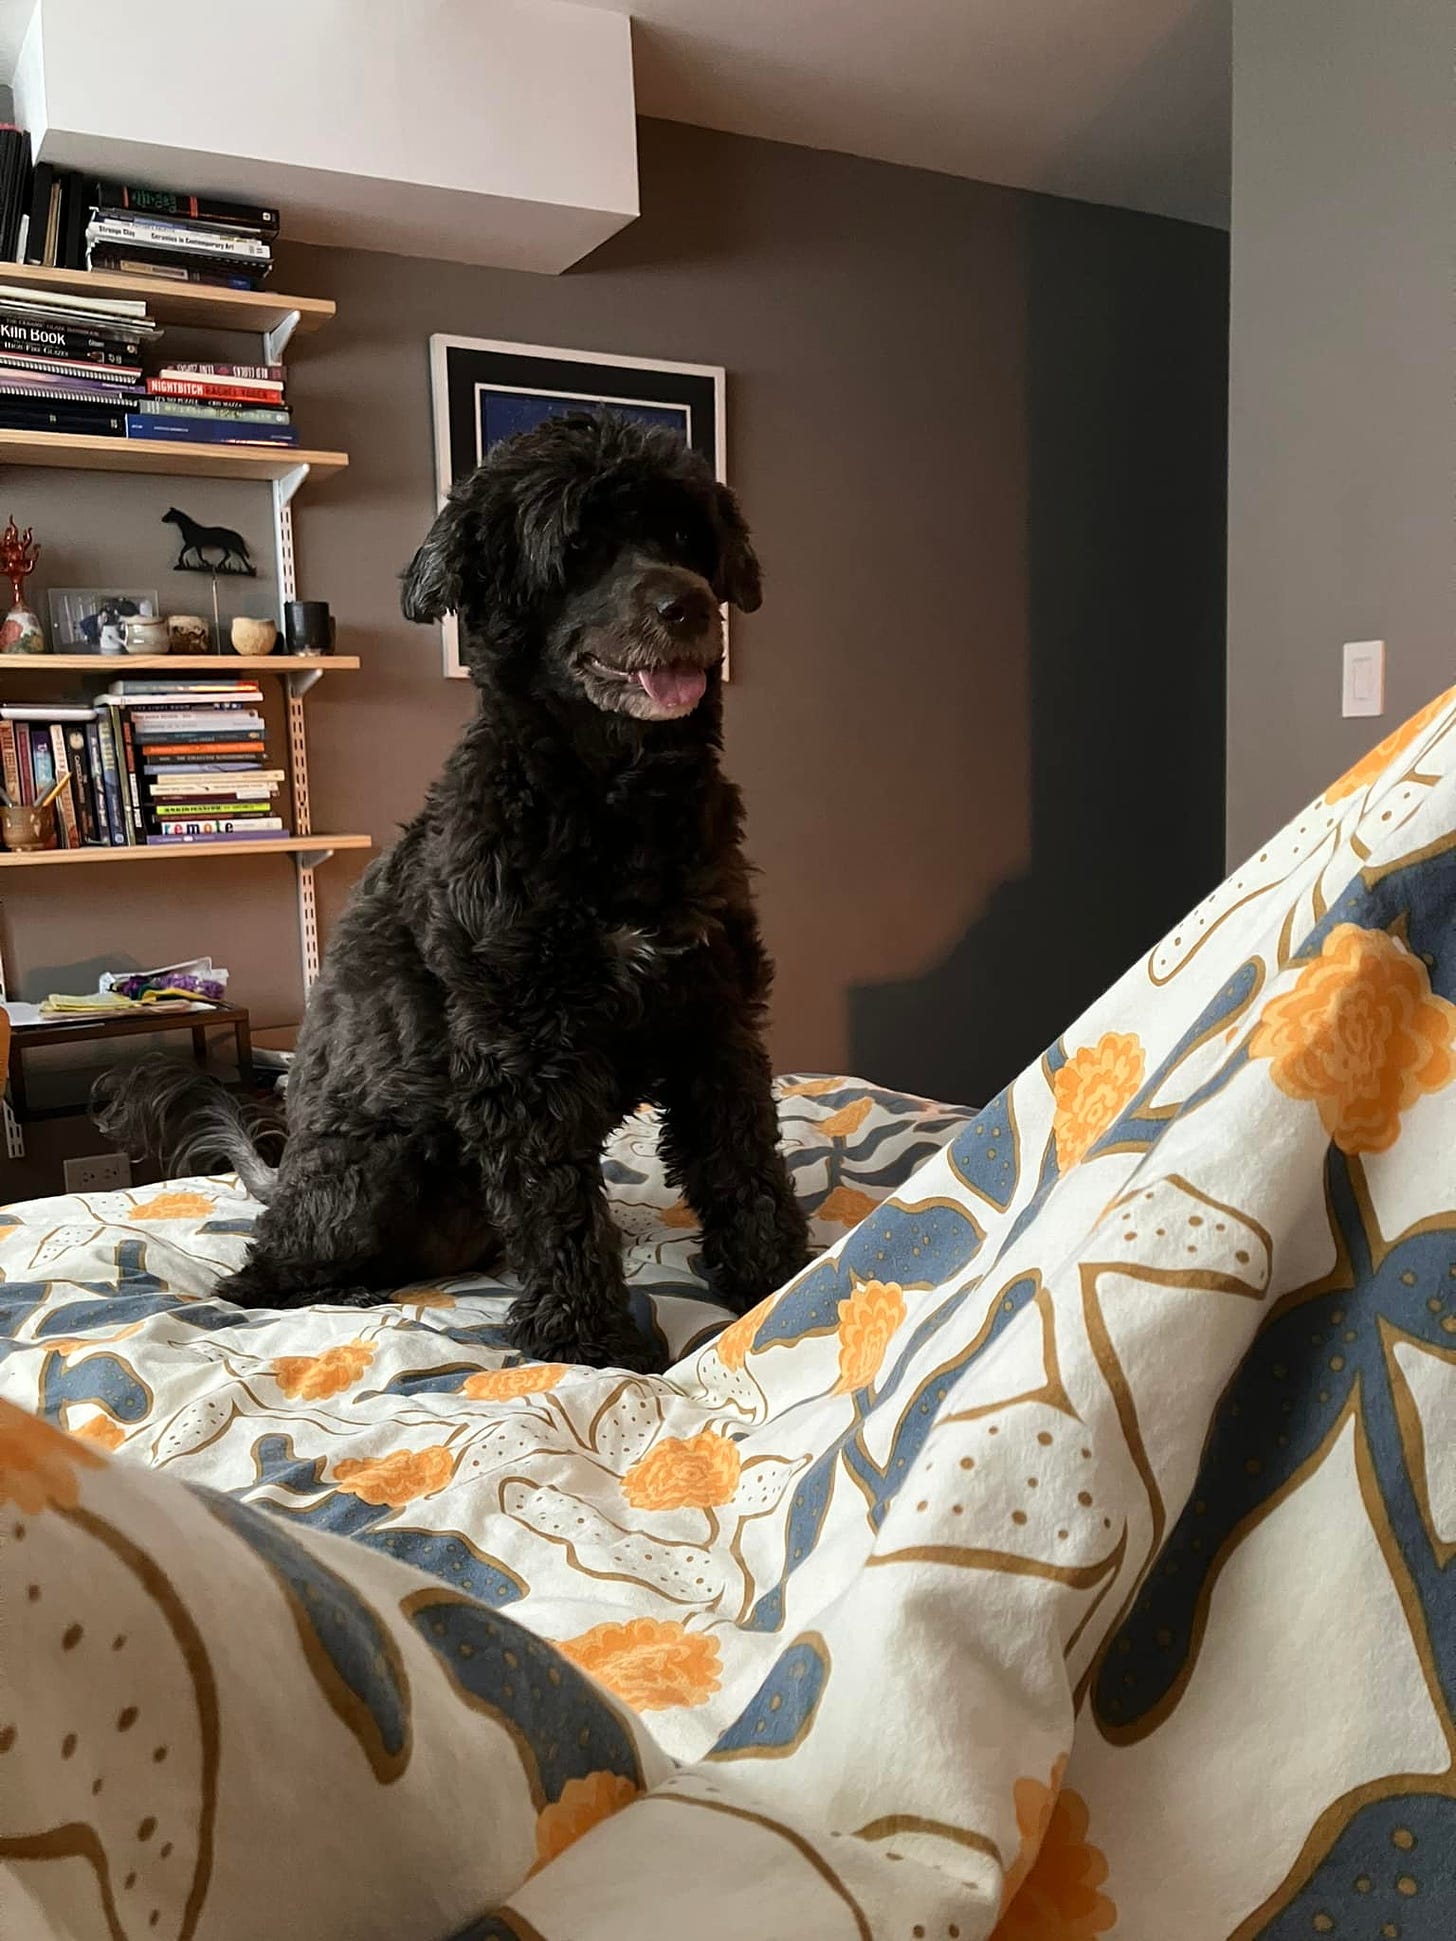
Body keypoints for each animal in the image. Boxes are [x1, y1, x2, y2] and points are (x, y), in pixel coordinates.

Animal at [94, 417, 811, 1374]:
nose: (688, 606)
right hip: (370, 1166)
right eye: (578, 550)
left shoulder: (712, 1017)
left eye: (684, 536)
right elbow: (559, 1209)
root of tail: (279, 1179)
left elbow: (744, 1161)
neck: (613, 800)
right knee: (261, 1274)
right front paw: (590, 1343)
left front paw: (778, 1286)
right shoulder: (522, 1052)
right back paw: (339, 1290)